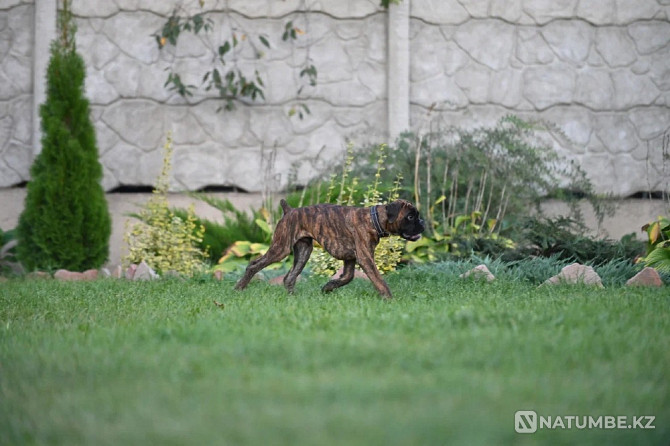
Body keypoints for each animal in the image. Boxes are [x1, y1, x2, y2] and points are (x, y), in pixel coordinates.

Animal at [236, 199, 426, 298]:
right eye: (410, 217)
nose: (422, 223)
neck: (373, 219)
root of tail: (289, 210)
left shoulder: (350, 260)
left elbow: (347, 278)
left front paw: (328, 287)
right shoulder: (365, 259)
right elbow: (379, 280)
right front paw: (389, 298)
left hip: (303, 252)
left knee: (289, 277)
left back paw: (292, 297)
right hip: (280, 249)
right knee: (253, 265)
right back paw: (239, 288)